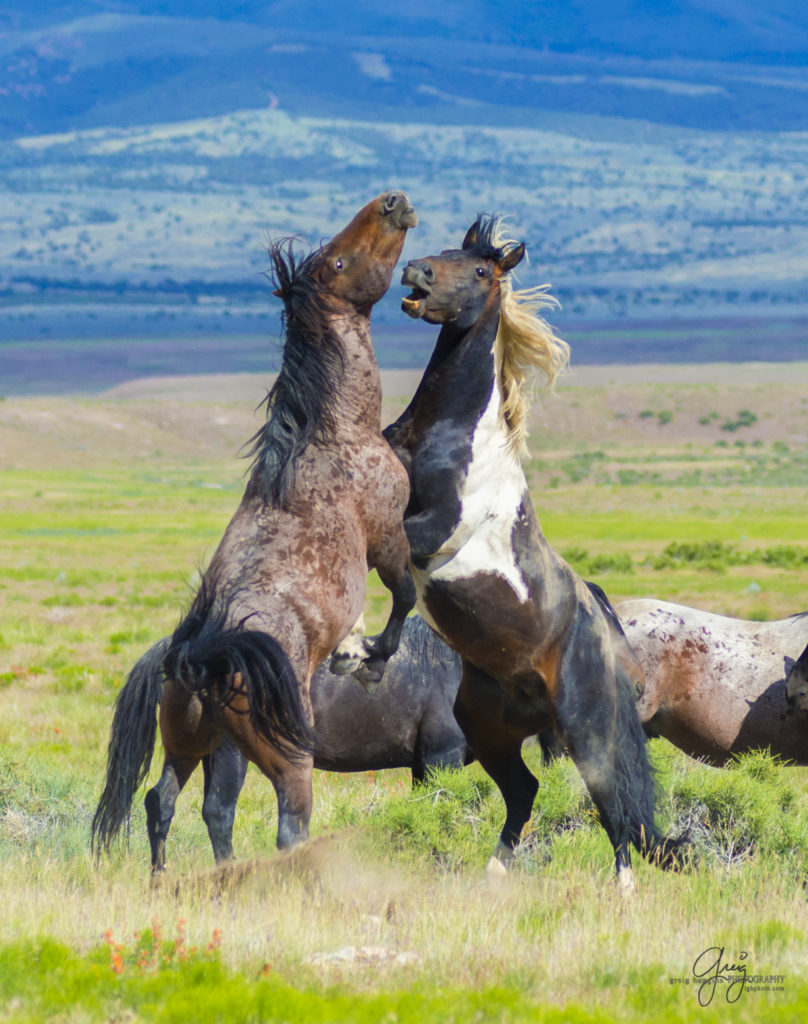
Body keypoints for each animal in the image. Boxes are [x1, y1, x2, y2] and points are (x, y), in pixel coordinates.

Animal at [93, 188, 419, 868]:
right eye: (339, 261)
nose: (393, 201)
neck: (333, 433)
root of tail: (195, 658)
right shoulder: (386, 537)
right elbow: (404, 598)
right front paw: (370, 660)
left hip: (197, 746)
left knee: (165, 803)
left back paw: (170, 878)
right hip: (280, 757)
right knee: (287, 824)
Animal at [387, 218, 684, 888]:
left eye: (478, 270)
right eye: (441, 251)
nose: (416, 272)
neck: (449, 438)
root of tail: (605, 632)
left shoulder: (432, 530)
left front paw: (356, 651)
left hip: (585, 729)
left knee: (613, 803)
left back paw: (624, 888)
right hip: (489, 726)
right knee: (524, 790)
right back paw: (493, 875)